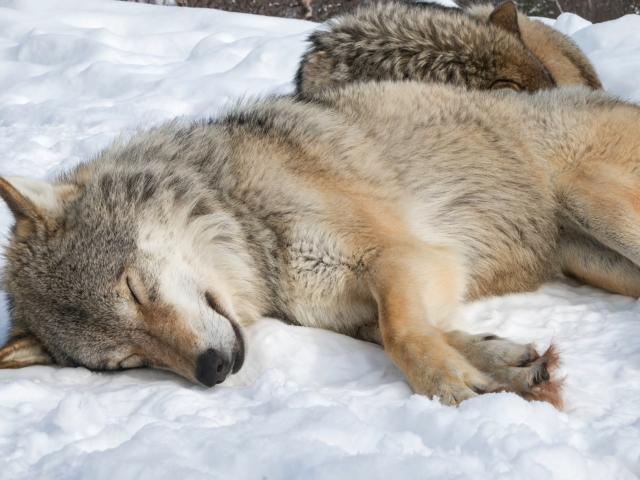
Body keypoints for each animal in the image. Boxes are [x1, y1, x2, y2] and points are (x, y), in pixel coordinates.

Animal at [2, 82, 640, 407]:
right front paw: (507, 368)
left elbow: (403, 335)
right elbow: (413, 331)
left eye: (133, 290)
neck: (246, 221)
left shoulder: (407, 256)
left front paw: (448, 386)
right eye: (128, 361)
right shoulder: (353, 309)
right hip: (593, 260)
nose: (211, 370)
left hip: (597, 203)